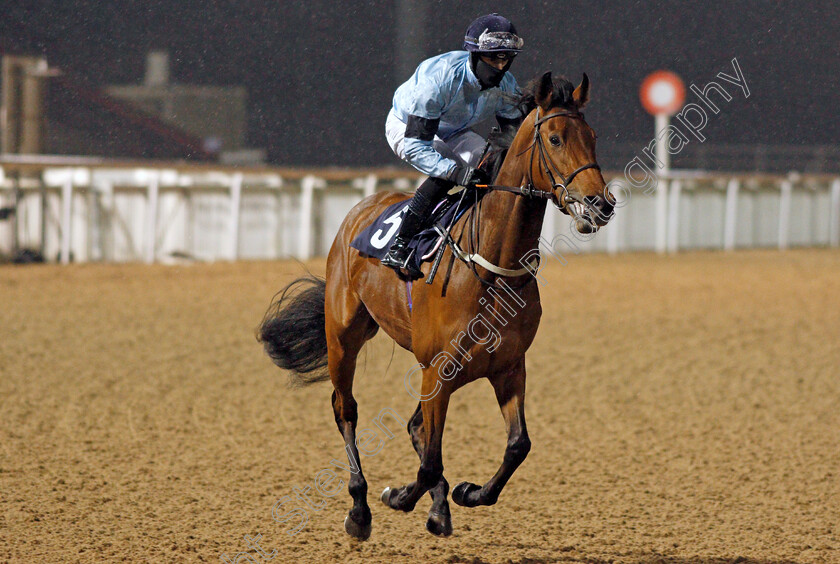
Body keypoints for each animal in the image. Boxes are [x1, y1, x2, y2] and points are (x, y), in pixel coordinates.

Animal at [256, 72, 612, 540]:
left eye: (592, 137)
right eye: (554, 138)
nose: (600, 204)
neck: (488, 266)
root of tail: (361, 208)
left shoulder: (508, 367)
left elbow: (517, 446)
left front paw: (466, 492)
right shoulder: (437, 368)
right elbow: (427, 464)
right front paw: (398, 497)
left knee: (416, 428)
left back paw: (440, 507)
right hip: (344, 336)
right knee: (345, 409)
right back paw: (360, 509)